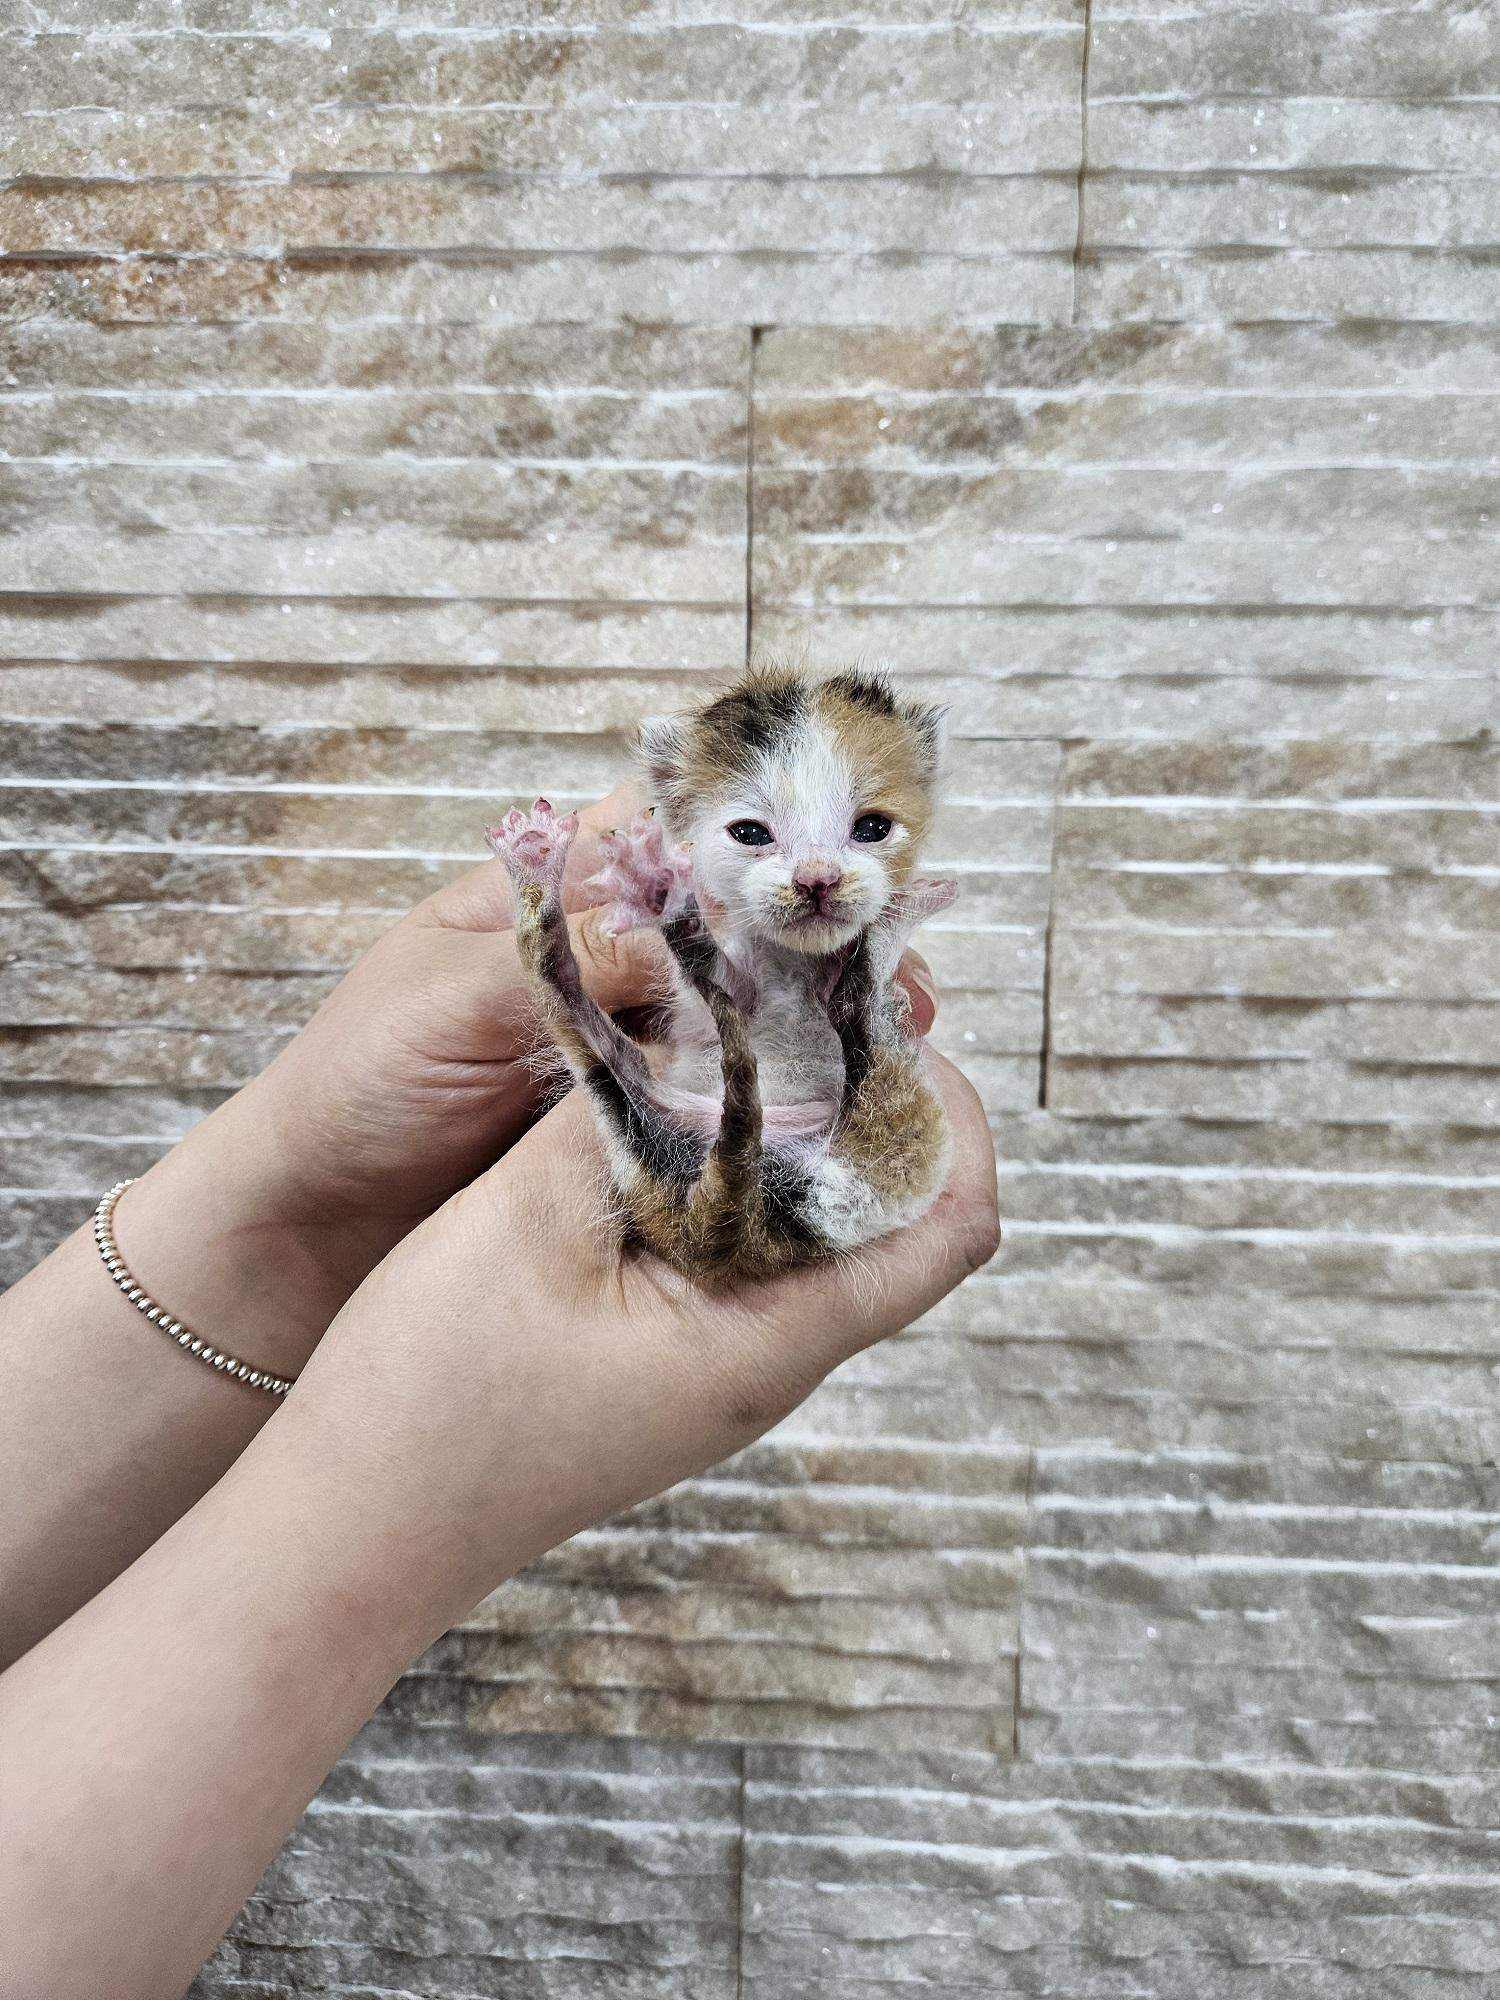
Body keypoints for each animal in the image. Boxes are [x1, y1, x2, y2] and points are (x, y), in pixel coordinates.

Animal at [494, 664, 964, 1272]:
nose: (817, 879)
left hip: (890, 1156)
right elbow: (722, 979)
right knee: (847, 1007)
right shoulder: (736, 979)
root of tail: (718, 1228)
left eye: (872, 828)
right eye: (751, 833)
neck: (795, 960)